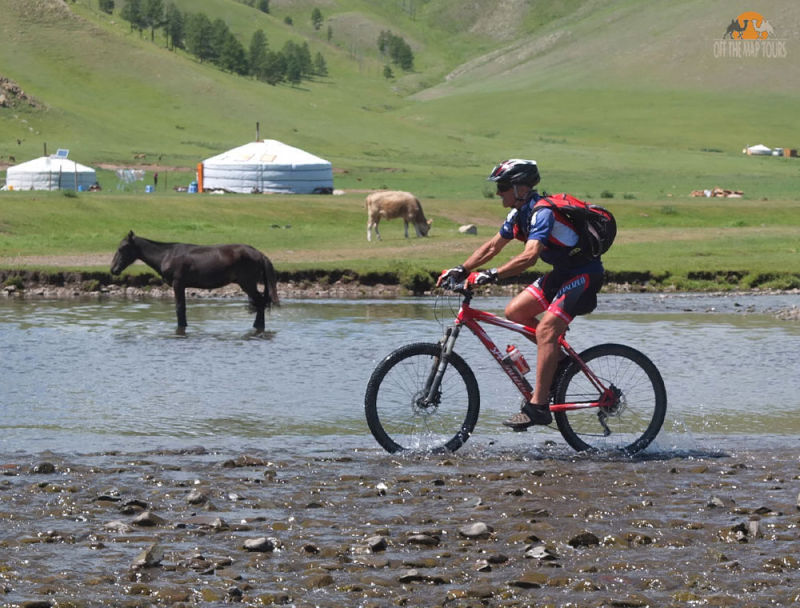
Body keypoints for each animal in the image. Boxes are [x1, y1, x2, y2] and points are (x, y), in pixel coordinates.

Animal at [109, 230, 278, 332]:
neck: (167, 255)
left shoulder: (178, 284)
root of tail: (259, 254)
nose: (113, 269)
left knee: (260, 303)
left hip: (247, 284)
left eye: (122, 248)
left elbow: (179, 309)